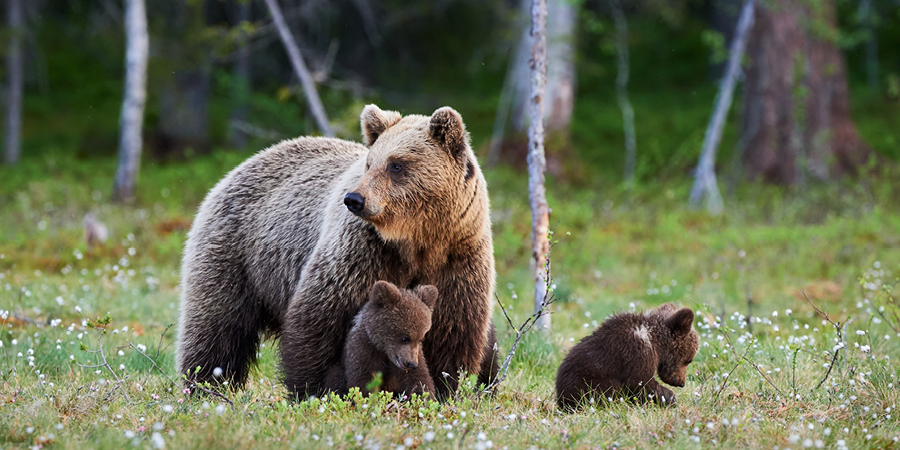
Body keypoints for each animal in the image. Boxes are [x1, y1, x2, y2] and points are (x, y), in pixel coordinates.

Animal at [176, 104, 497, 399]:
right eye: (370, 163)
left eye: (396, 165)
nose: (355, 199)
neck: (417, 240)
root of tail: (243, 164)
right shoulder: (363, 253)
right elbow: (321, 317)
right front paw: (314, 389)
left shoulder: (457, 258)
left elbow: (452, 330)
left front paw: (445, 389)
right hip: (238, 252)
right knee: (217, 326)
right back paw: (205, 385)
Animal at [555, 303, 699, 411]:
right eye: (689, 360)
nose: (681, 382)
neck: (655, 340)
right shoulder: (636, 352)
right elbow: (640, 381)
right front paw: (670, 398)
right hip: (586, 381)